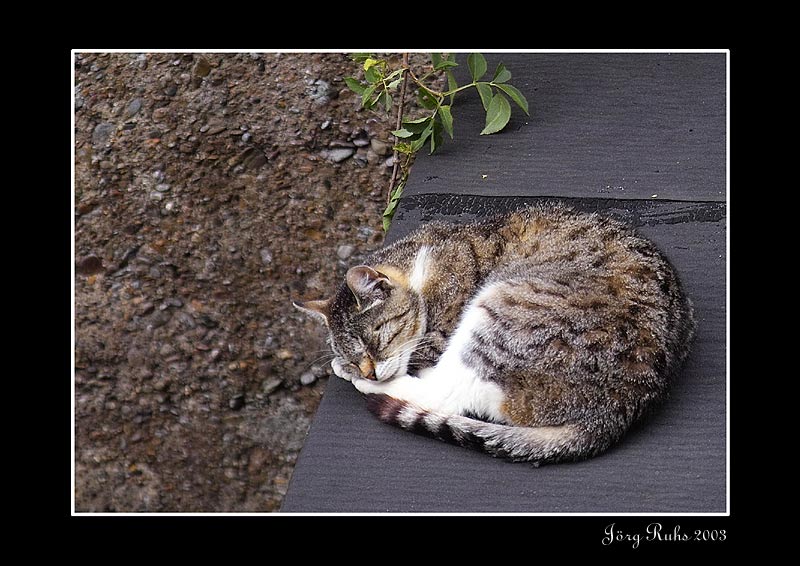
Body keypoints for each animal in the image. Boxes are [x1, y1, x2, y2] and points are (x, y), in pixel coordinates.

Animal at [294, 204, 692, 466]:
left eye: (374, 339)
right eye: (354, 354)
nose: (367, 371)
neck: (425, 260)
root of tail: (618, 410)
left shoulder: (442, 326)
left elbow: (419, 353)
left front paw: (352, 373)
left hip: (498, 310)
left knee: (444, 395)